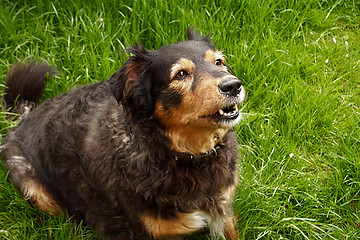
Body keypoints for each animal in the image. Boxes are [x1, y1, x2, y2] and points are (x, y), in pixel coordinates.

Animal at [0, 29, 245, 239]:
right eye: (180, 74)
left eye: (219, 62)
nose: (233, 85)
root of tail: (21, 120)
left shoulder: (223, 210)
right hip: (37, 191)